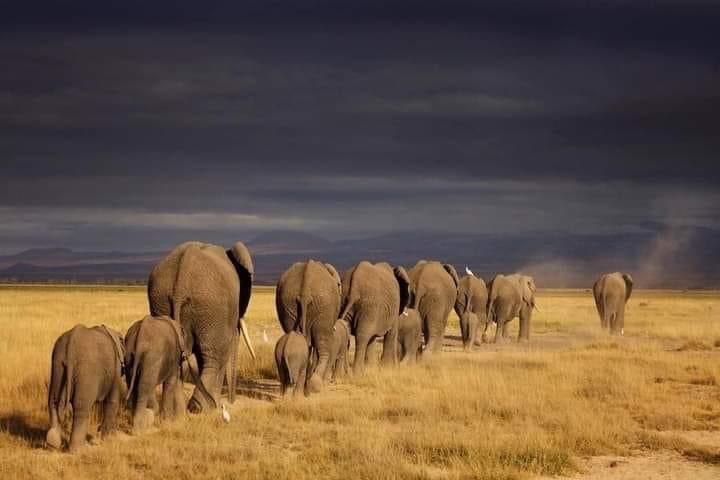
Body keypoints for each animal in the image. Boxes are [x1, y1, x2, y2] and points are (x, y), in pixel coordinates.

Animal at [46, 324, 125, 452]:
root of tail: (71, 342)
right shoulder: (116, 366)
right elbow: (112, 401)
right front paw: (107, 439)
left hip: (57, 365)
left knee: (53, 401)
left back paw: (52, 446)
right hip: (86, 370)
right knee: (81, 407)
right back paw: (78, 450)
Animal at [148, 240, 258, 412]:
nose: (232, 401)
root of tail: (182, 275)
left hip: (161, 301)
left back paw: (174, 414)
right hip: (212, 306)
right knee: (215, 356)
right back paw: (202, 408)